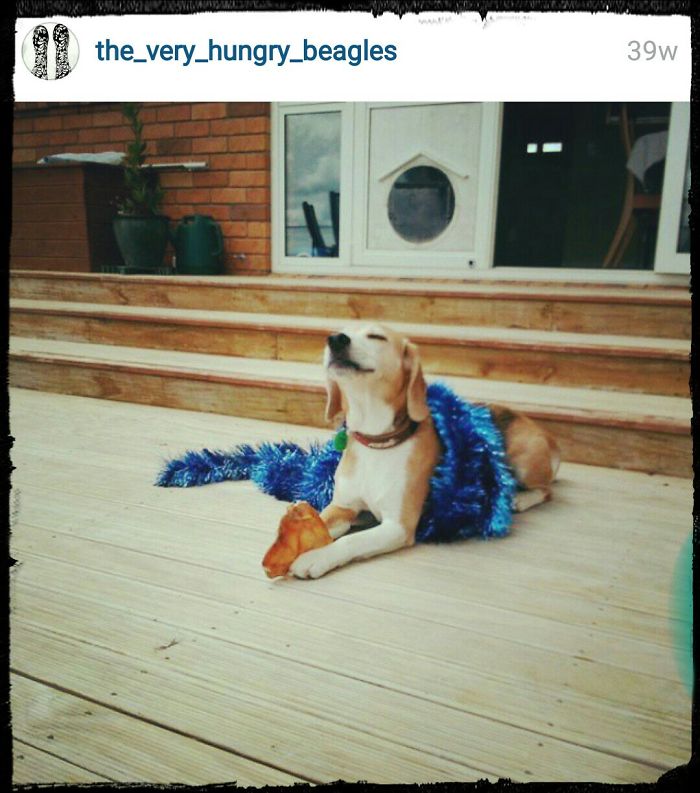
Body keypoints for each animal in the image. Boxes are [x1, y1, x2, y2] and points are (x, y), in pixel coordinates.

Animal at [288, 324, 560, 580]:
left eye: (377, 337)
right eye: (339, 332)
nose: (335, 339)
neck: (377, 442)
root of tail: (542, 431)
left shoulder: (398, 526)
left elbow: (352, 540)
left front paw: (317, 557)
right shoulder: (342, 507)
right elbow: (318, 521)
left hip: (523, 462)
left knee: (547, 491)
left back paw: (520, 499)